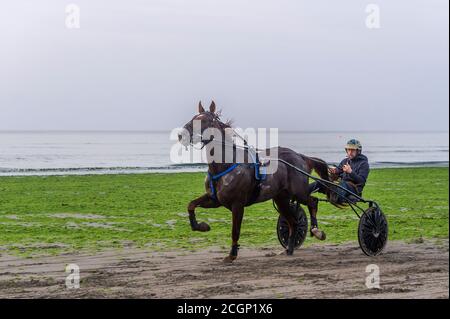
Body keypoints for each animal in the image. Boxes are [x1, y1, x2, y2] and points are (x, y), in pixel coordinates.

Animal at [178, 100, 328, 262]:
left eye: (204, 120)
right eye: (193, 118)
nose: (181, 135)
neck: (225, 165)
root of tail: (300, 157)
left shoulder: (237, 204)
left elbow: (235, 230)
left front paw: (232, 254)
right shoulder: (215, 199)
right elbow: (191, 205)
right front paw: (201, 226)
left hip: (298, 192)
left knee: (312, 202)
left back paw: (316, 231)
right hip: (281, 199)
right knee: (293, 222)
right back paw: (289, 249)